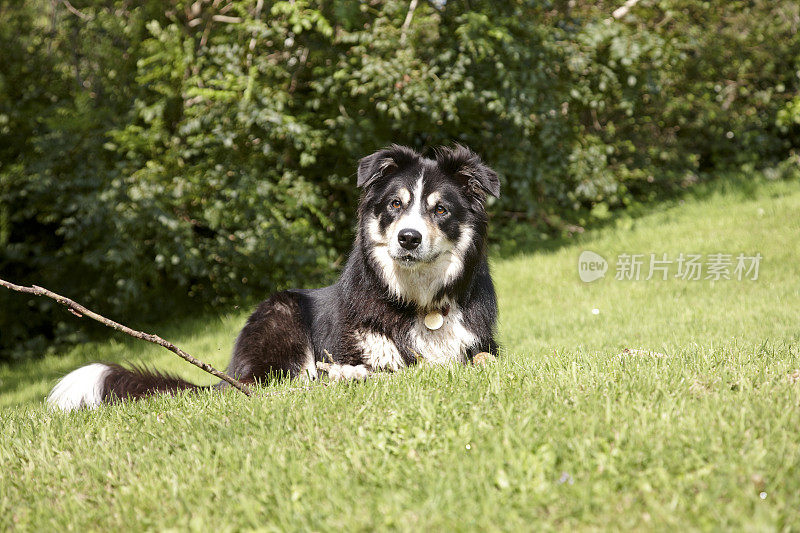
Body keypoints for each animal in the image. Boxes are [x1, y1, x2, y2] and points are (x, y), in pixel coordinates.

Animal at [47, 143, 500, 410]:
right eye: (394, 204)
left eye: (440, 209)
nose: (408, 238)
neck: (420, 302)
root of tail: (231, 373)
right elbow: (391, 367)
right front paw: (352, 372)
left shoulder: (479, 342)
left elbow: (484, 359)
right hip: (279, 314)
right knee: (284, 382)